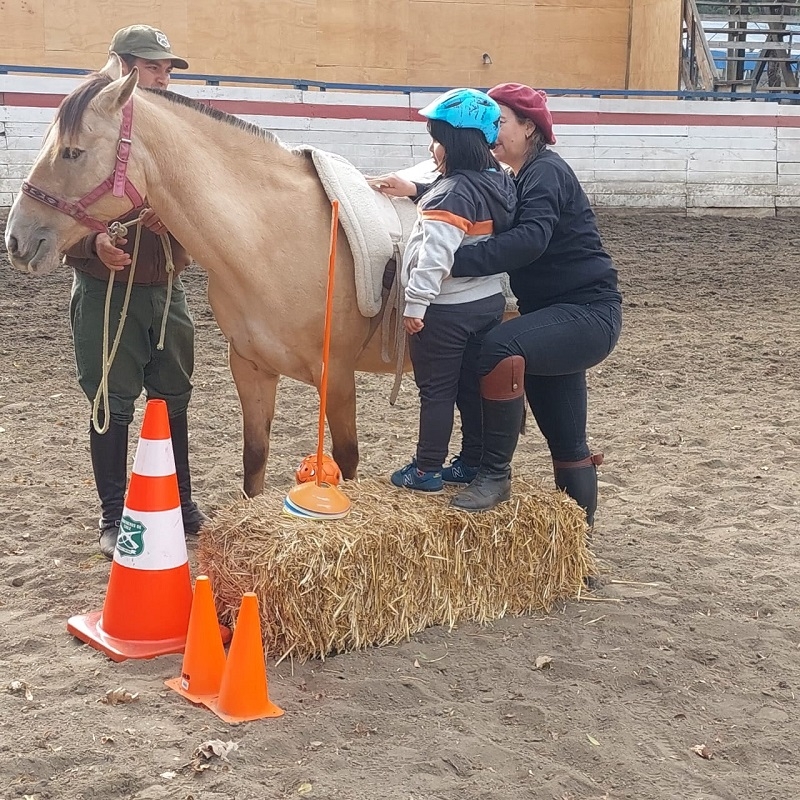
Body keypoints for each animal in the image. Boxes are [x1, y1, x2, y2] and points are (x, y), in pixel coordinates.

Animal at [3, 65, 406, 496]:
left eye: (72, 152)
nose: (16, 240)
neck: (274, 239)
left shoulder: (337, 377)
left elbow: (347, 460)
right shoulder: (250, 368)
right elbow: (254, 458)